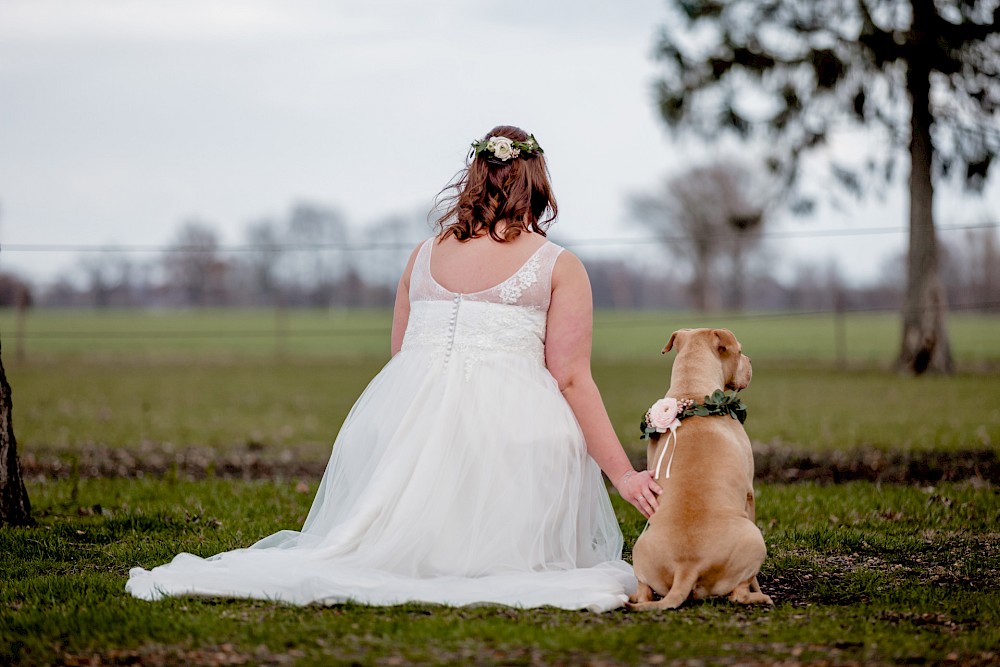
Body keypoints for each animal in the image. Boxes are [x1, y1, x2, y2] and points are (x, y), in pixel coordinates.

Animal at [624, 328, 772, 612]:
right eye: (740, 350)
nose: (750, 361)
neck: (691, 393)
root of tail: (686, 567)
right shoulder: (749, 495)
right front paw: (759, 588)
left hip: (642, 548)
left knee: (645, 592)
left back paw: (636, 597)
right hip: (753, 538)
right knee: (738, 593)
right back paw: (758, 597)